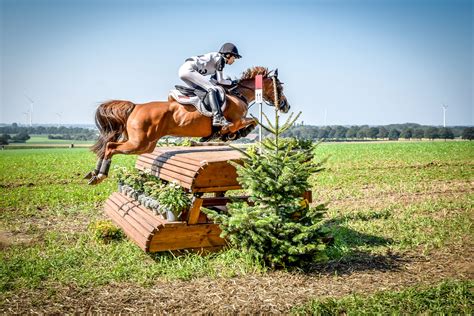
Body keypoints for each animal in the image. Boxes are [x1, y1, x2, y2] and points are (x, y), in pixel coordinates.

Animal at [85, 66, 288, 185]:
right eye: (279, 87)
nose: (286, 106)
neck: (238, 95)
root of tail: (136, 106)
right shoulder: (235, 121)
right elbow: (251, 121)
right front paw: (232, 134)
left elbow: (251, 121)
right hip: (139, 143)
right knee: (111, 147)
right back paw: (100, 175)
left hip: (145, 145)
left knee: (107, 146)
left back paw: (93, 174)